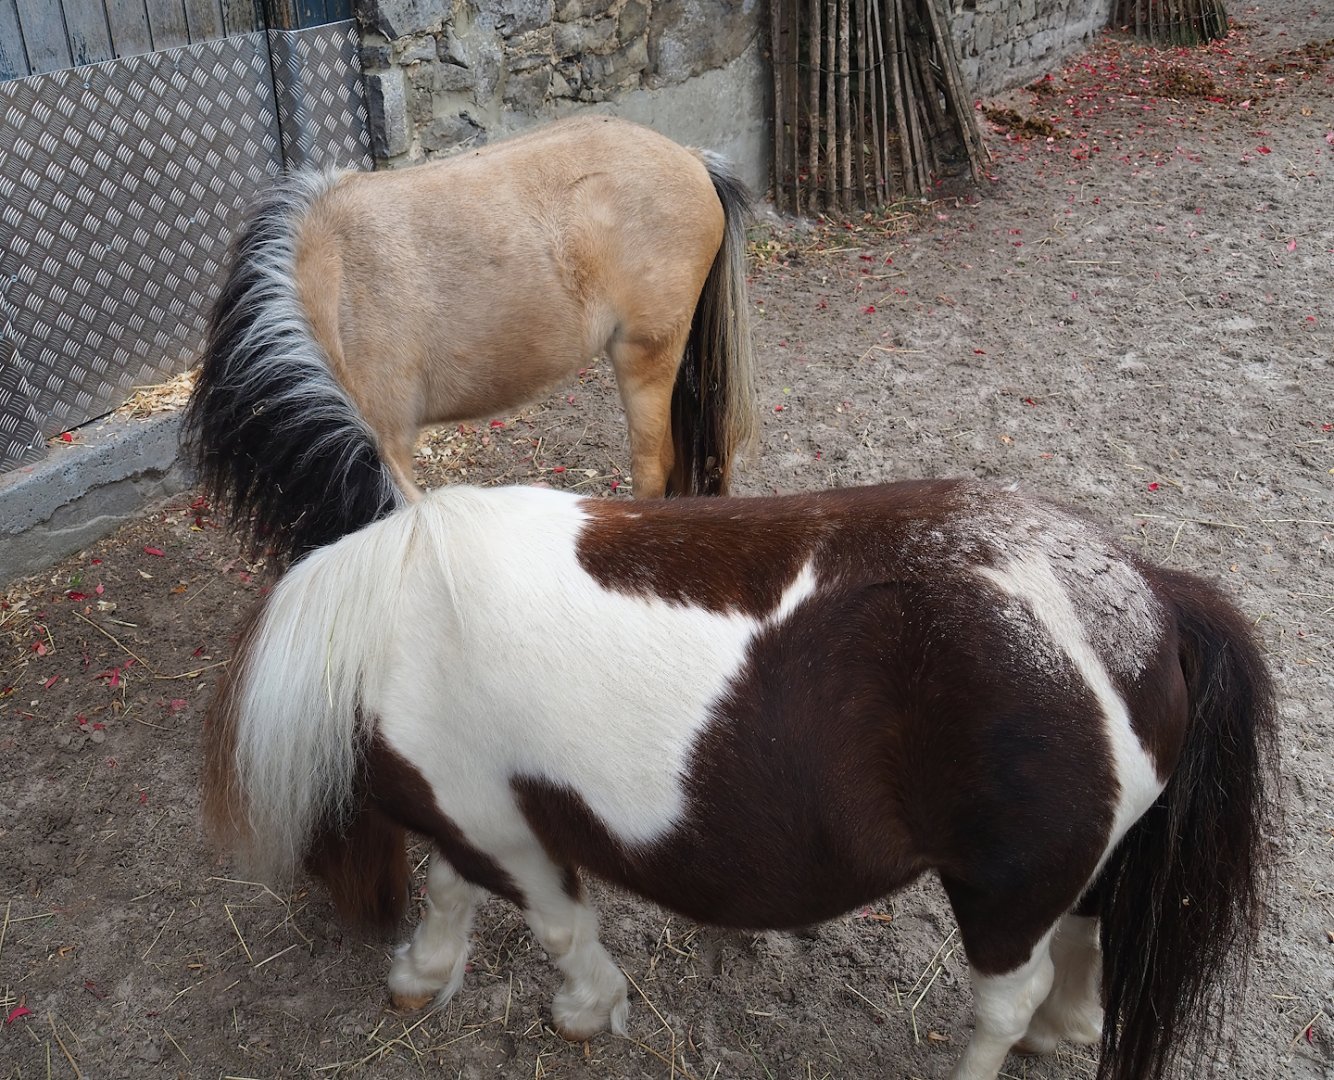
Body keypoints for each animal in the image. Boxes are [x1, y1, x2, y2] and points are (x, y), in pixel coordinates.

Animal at [202, 479, 1277, 1080]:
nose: (352, 917)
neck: (393, 631)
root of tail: (1145, 599)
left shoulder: (500, 827)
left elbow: (557, 926)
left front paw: (583, 1010)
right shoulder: (482, 821)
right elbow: (454, 895)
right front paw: (423, 975)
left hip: (1001, 895)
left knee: (1011, 998)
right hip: (1076, 870)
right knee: (1088, 943)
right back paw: (1064, 1034)